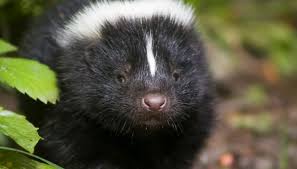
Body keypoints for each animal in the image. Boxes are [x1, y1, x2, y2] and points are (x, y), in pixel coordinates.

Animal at [19, 0, 214, 169]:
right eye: (120, 76)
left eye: (176, 75)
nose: (154, 102)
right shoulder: (68, 106)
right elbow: (73, 148)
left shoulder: (196, 111)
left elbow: (179, 151)